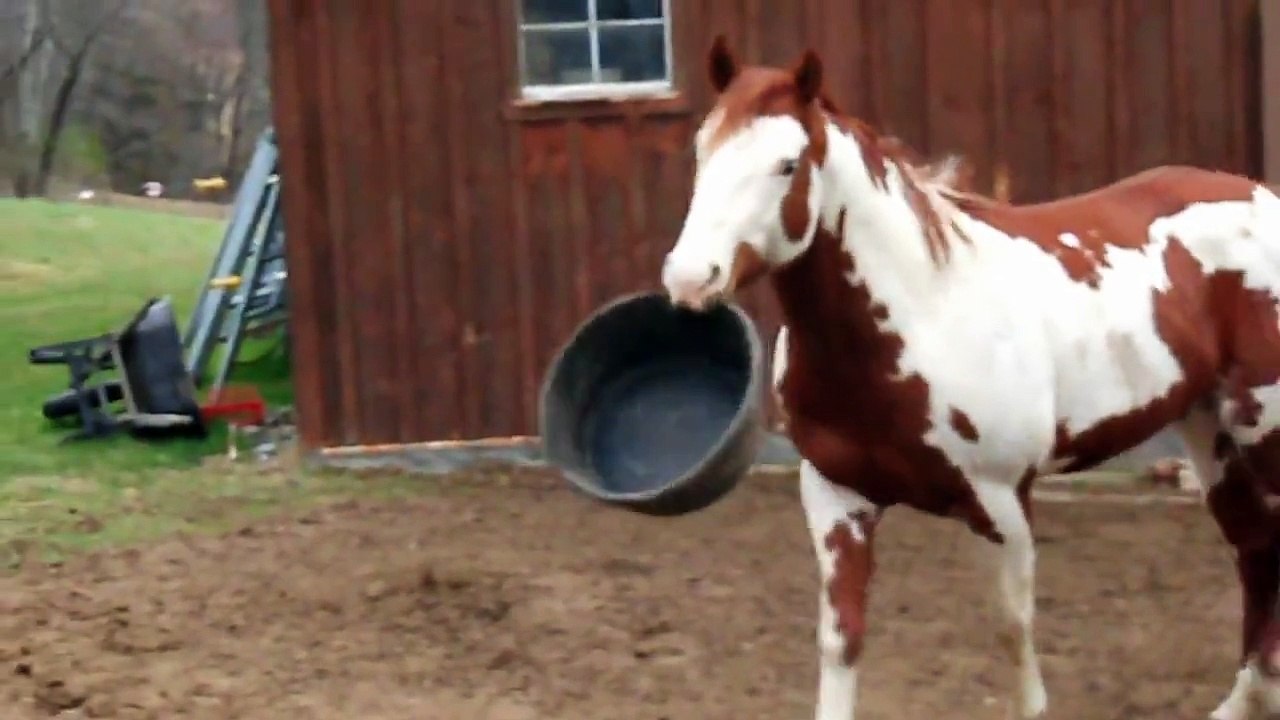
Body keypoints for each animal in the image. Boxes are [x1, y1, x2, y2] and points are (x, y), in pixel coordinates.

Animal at [660, 36, 1280, 720]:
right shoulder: (835, 497)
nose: (689, 279)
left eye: (787, 164)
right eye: (703, 149)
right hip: (1209, 430)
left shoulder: (1001, 501)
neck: (919, 313)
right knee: (1255, 548)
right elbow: (841, 640)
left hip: (1264, 426)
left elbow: (1013, 632)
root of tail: (1263, 199)